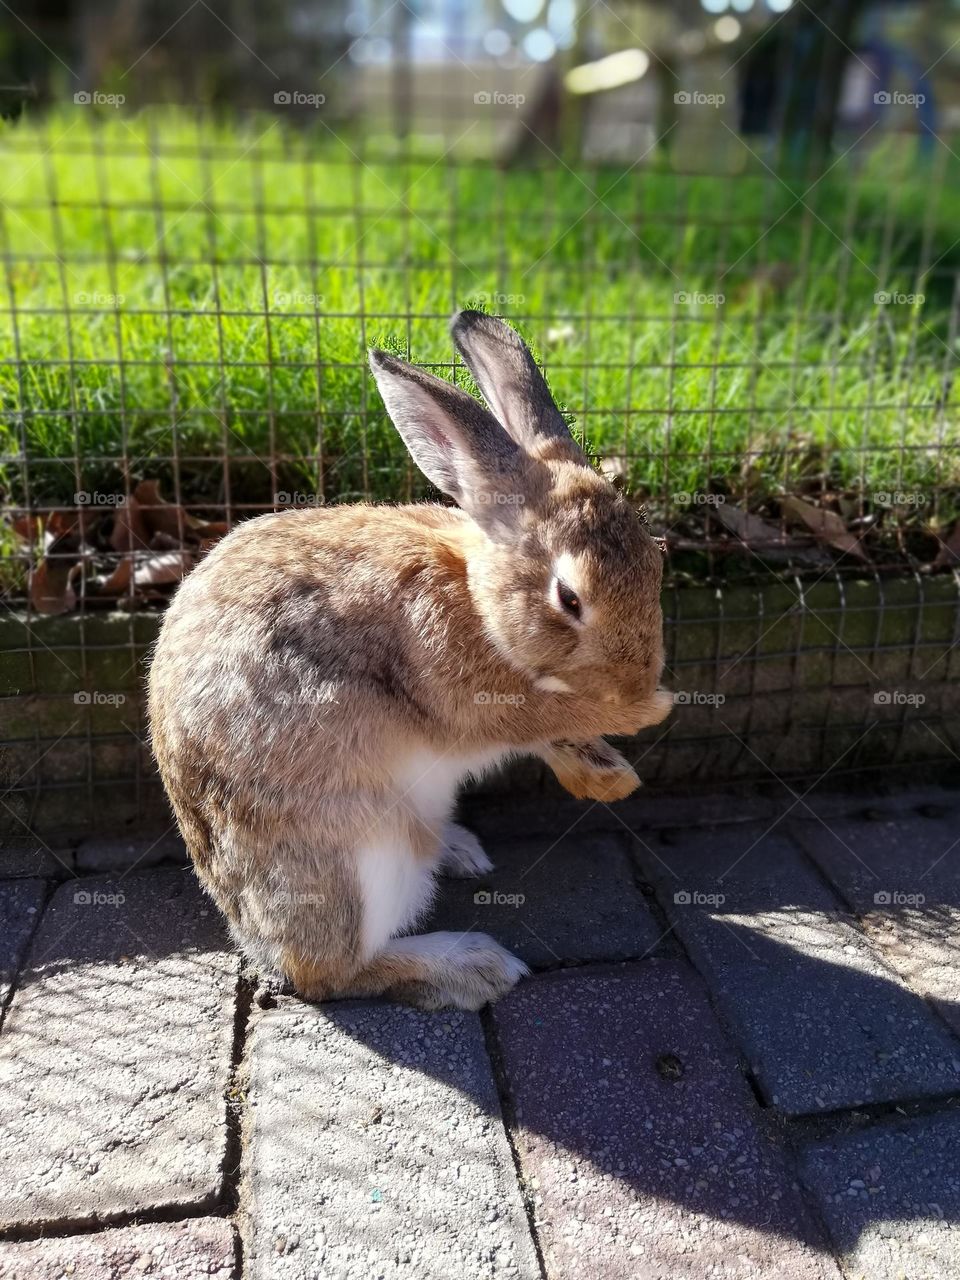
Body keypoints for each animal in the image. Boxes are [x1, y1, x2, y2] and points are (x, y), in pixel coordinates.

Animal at [152, 312, 675, 1008]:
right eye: (570, 597)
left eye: (657, 559)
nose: (637, 684)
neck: (477, 597)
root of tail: (249, 934)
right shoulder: (473, 703)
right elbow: (542, 717)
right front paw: (642, 715)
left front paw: (606, 773)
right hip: (359, 857)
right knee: (332, 974)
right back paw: (472, 965)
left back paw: (461, 853)